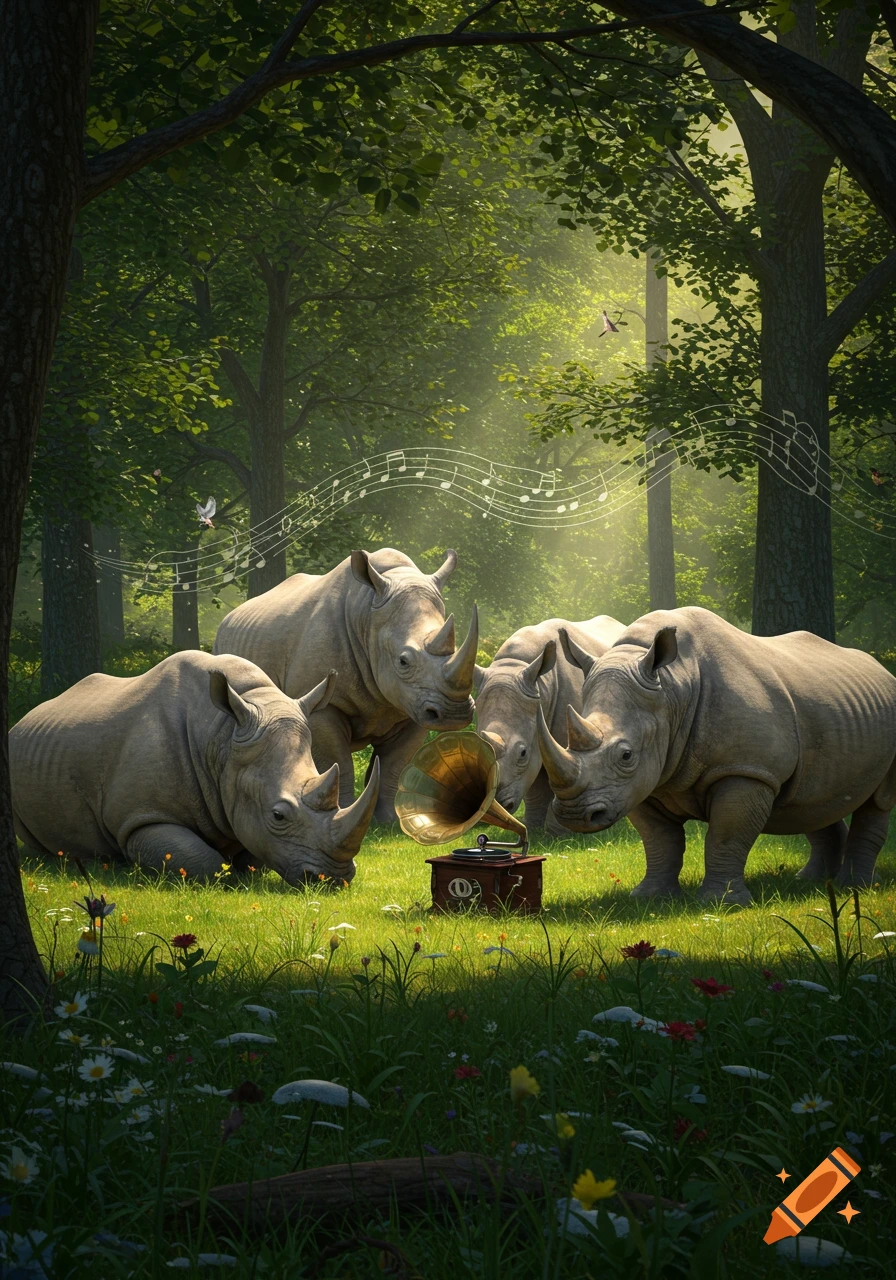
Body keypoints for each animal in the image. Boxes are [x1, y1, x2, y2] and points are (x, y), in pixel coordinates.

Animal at [9, 651, 380, 886]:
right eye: (278, 815)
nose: (334, 879)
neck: (221, 739)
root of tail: (23, 720)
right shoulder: (141, 817)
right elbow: (204, 862)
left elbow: (253, 852)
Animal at [213, 548, 478, 823]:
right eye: (403, 661)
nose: (455, 714)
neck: (367, 616)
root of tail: (229, 618)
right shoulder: (325, 707)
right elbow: (338, 760)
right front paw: (346, 813)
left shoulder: (412, 705)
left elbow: (395, 764)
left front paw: (389, 822)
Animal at [535, 607, 896, 904]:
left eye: (626, 755)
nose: (573, 815)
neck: (672, 689)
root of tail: (882, 669)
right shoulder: (643, 782)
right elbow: (659, 840)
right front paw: (649, 897)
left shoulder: (745, 769)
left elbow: (726, 835)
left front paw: (721, 903)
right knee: (811, 797)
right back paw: (811, 881)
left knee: (878, 801)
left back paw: (857, 886)